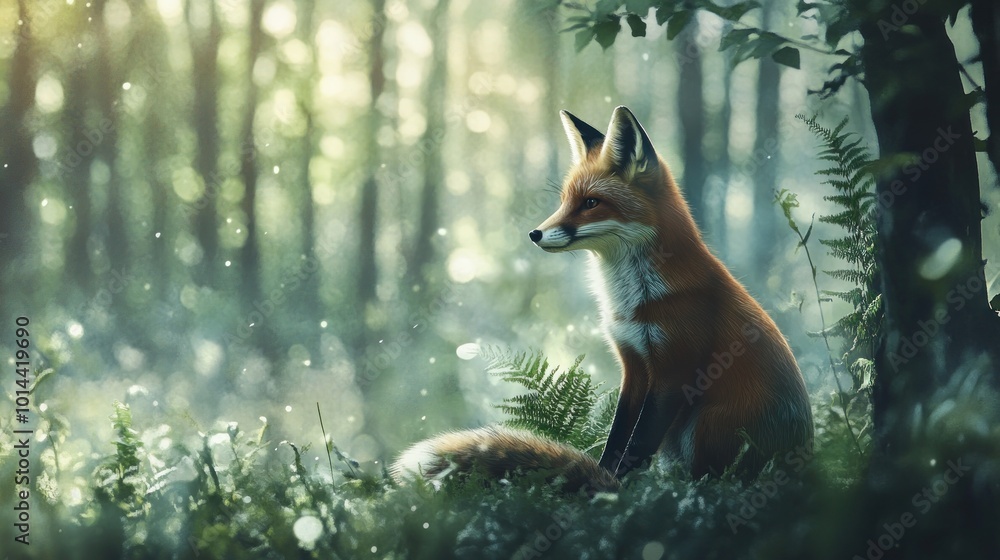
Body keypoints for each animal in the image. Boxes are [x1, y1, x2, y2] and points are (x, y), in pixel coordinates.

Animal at [391, 106, 813, 490]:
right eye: (563, 200)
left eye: (591, 203)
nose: (534, 234)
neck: (631, 301)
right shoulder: (634, 365)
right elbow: (617, 439)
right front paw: (607, 482)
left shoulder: (675, 370)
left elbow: (639, 443)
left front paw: (612, 492)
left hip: (708, 421)